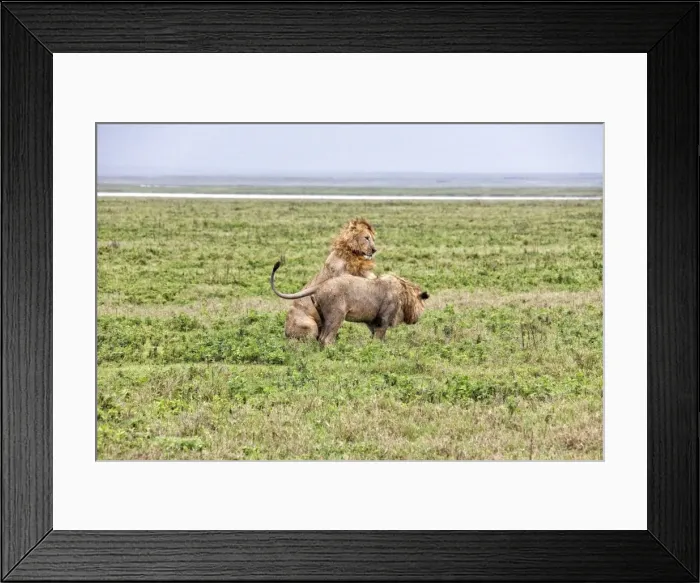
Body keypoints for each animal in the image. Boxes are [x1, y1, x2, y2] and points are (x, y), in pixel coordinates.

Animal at [271, 261, 429, 347]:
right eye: (421, 305)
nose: (417, 319)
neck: (404, 293)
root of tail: (321, 285)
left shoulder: (372, 322)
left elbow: (375, 338)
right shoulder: (383, 320)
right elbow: (380, 339)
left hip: (324, 318)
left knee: (321, 338)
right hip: (336, 315)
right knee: (326, 339)